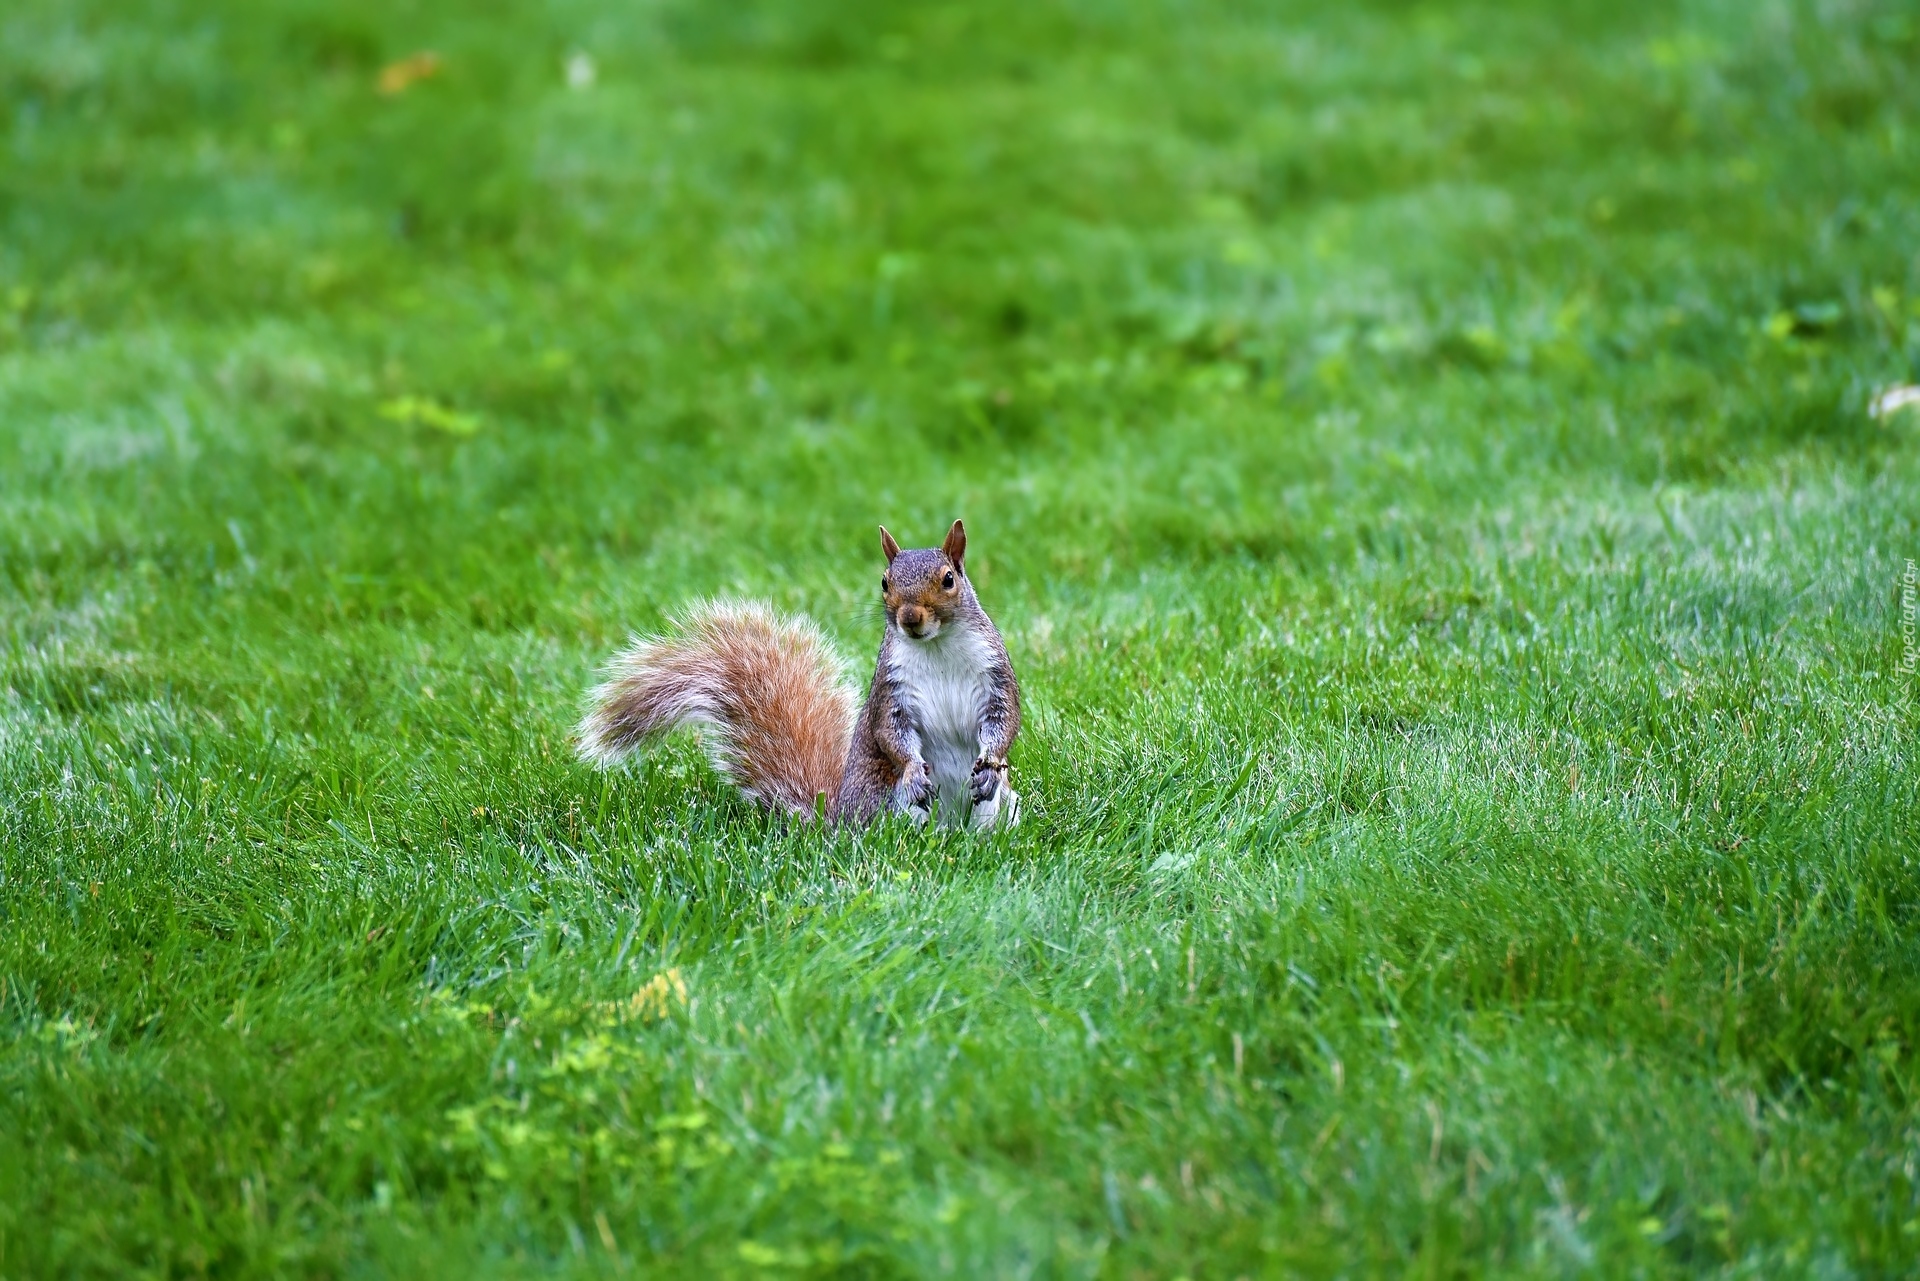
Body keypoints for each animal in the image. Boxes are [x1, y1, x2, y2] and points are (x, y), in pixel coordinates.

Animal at [576, 522, 1021, 833]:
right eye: (884, 582)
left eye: (949, 579)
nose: (909, 617)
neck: (936, 647)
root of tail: (837, 825)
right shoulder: (890, 692)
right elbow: (891, 734)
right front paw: (912, 771)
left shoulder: (996, 678)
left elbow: (1004, 722)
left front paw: (989, 764)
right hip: (887, 803)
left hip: (1003, 804)